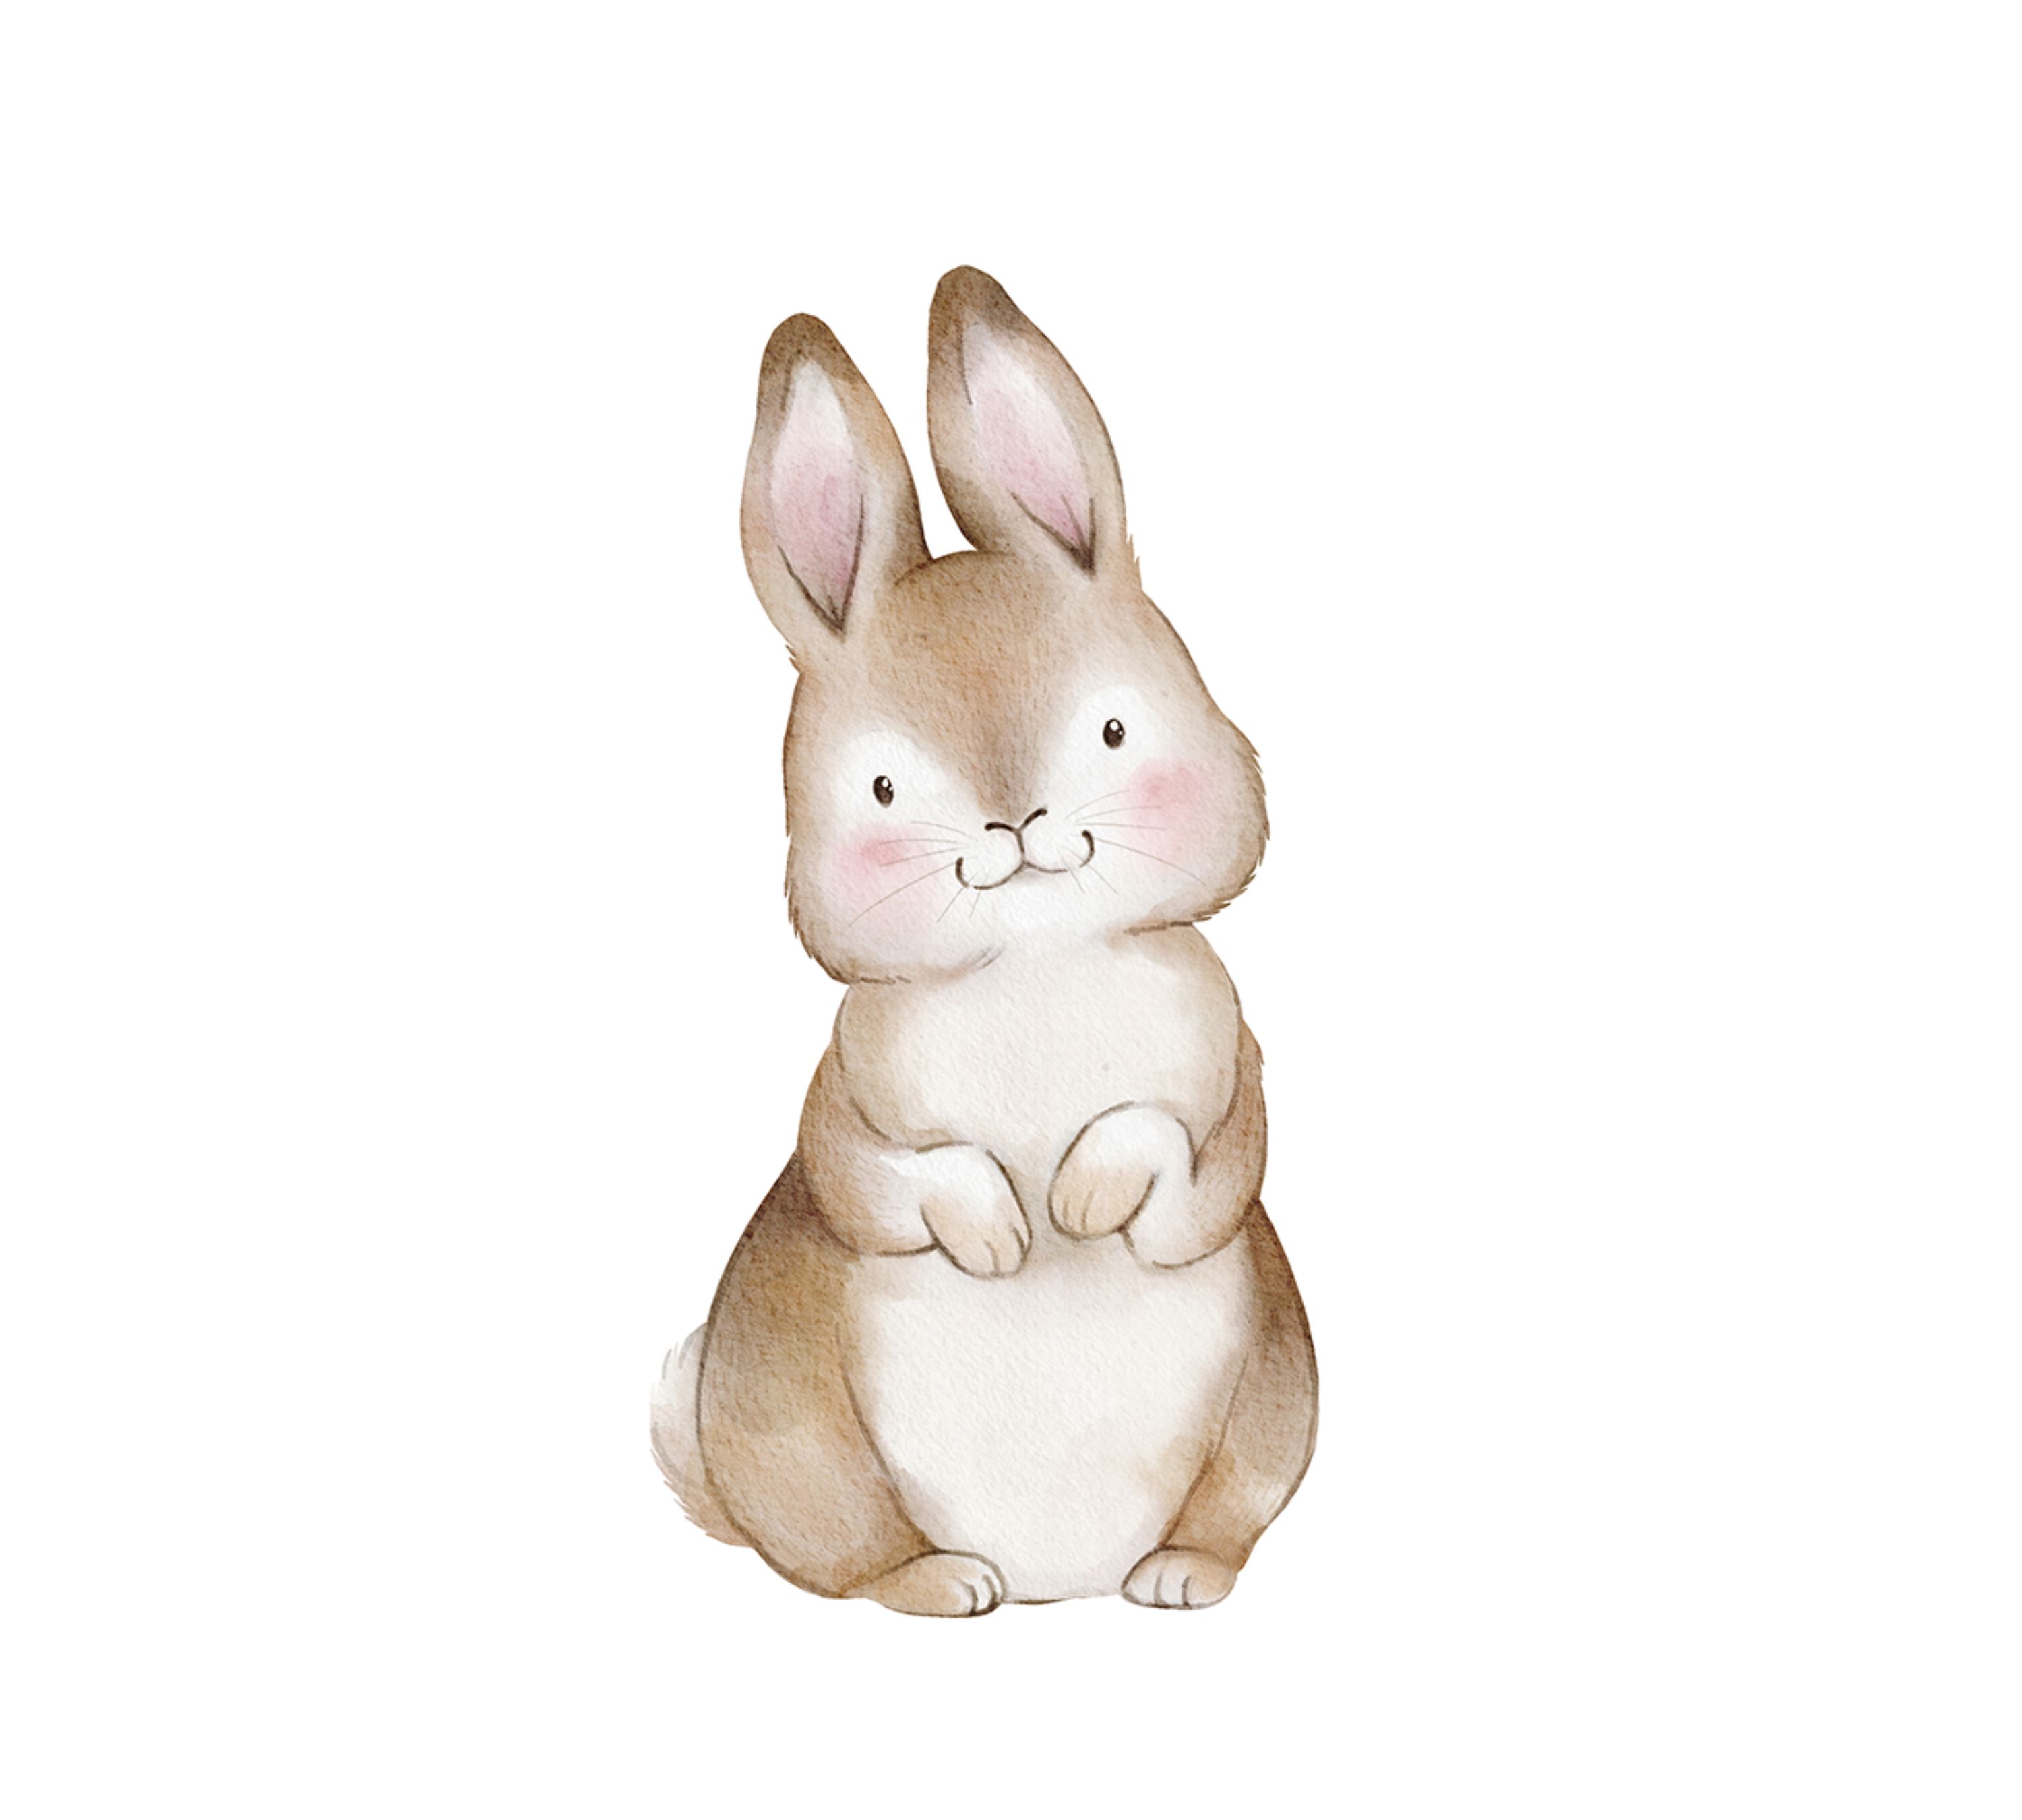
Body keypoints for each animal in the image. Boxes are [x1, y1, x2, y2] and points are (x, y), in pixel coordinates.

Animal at [651, 268, 1316, 1615]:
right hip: (806, 1446)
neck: (1037, 967)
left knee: (1225, 1522)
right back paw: (948, 1584)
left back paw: (1176, 1579)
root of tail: (1063, 1581)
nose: (1015, 826)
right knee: (852, 1567)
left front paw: (1078, 1202)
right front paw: (1007, 1238)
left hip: (1274, 1414)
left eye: (1112, 730)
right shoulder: (846, 1110)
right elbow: (886, 1176)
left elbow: (1183, 1164)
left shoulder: (1231, 1101)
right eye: (885, 791)